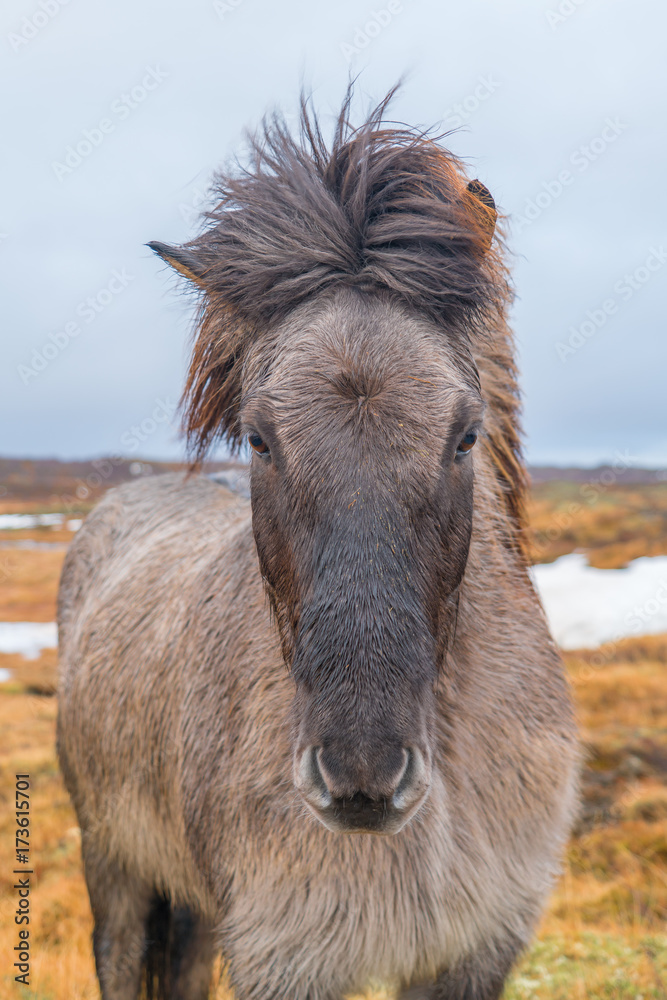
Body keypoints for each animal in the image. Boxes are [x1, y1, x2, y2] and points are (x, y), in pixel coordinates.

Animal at [57, 90, 580, 996]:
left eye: (464, 436)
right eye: (259, 440)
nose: (361, 777)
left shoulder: (477, 953)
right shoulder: (285, 958)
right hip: (114, 869)